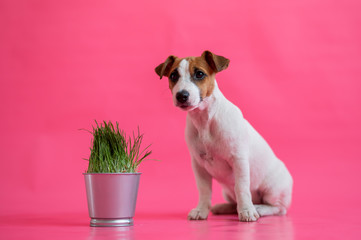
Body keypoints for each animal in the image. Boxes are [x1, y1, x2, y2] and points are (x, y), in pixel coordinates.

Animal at [155, 50, 292, 221]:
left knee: (279, 208)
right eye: (173, 75)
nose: (181, 95)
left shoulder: (239, 160)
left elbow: (241, 187)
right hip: (227, 192)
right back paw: (223, 207)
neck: (204, 120)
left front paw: (247, 211)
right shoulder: (199, 165)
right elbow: (204, 190)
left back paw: (259, 208)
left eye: (199, 74)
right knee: (234, 203)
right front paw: (201, 210)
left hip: (273, 190)